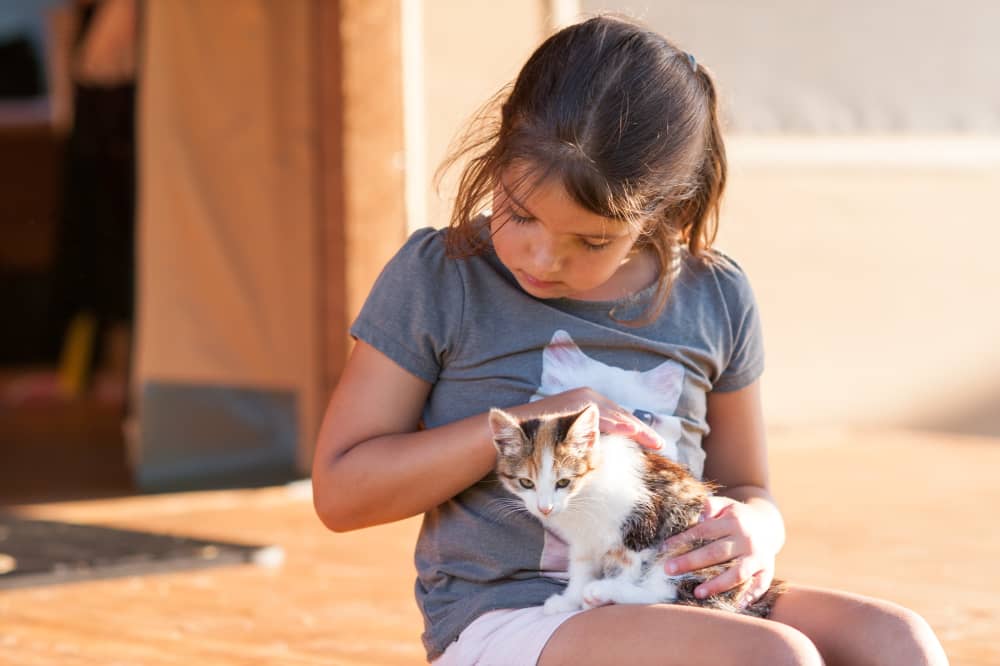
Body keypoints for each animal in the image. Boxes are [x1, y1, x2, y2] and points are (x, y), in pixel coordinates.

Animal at [488, 400, 784, 616]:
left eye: (563, 482)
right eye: (526, 483)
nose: (545, 508)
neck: (584, 496)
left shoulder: (643, 519)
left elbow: (629, 564)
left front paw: (610, 586)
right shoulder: (583, 541)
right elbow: (581, 566)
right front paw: (569, 600)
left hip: (688, 541)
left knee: (667, 590)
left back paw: (603, 593)